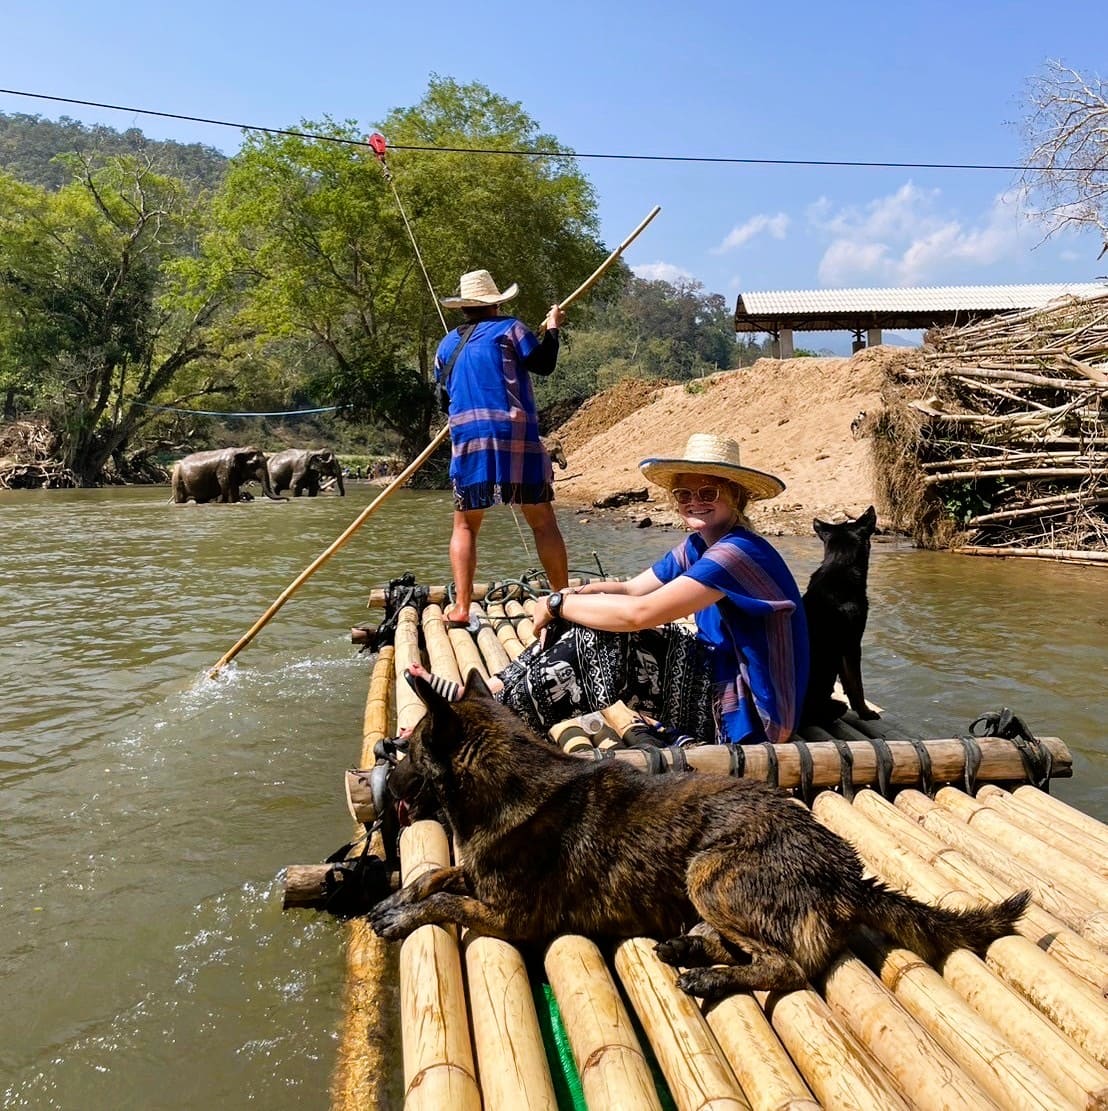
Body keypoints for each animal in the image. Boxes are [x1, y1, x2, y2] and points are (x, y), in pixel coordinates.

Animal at [368, 669, 1028, 1000]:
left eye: (410, 749)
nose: (384, 771)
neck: (506, 785)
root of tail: (842, 871)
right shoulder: (478, 873)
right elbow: (436, 874)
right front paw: (397, 898)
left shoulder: (514, 919)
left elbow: (447, 900)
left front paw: (404, 915)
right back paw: (689, 949)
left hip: (709, 873)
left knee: (787, 965)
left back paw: (711, 974)